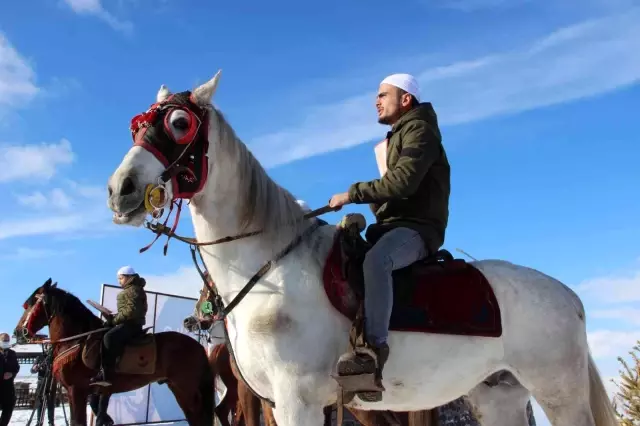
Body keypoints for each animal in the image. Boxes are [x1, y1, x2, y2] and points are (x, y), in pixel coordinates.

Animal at [14, 278, 215, 426]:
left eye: (30, 304)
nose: (18, 332)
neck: (76, 340)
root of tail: (197, 345)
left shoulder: (76, 391)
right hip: (177, 387)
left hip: (186, 388)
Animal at [105, 72, 616, 426]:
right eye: (136, 127)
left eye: (179, 123)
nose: (120, 190)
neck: (269, 268)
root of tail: (569, 297)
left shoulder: (298, 400)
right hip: (499, 396)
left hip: (559, 394)